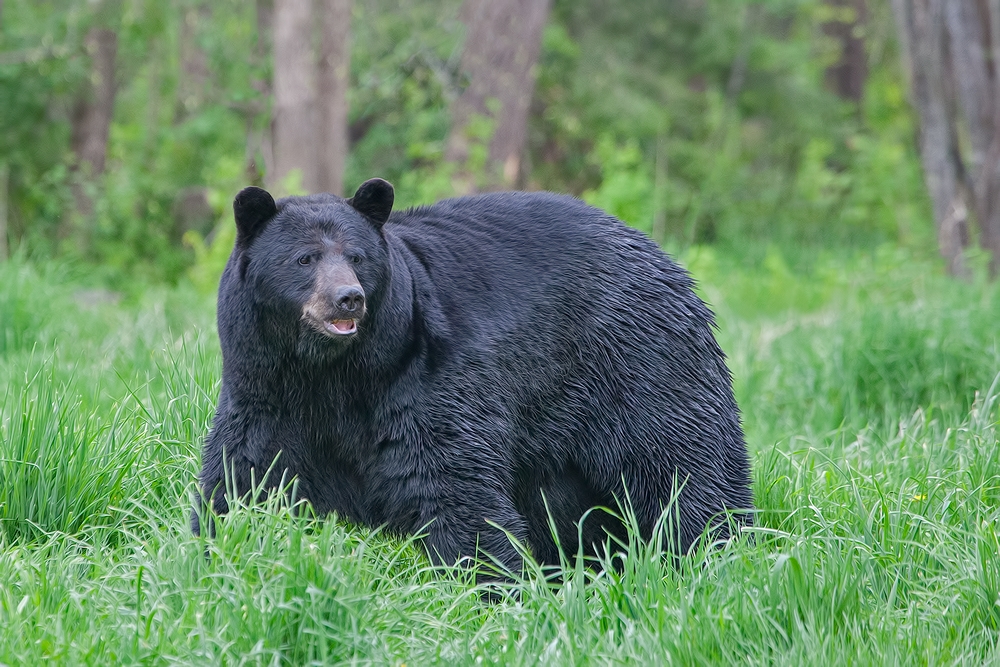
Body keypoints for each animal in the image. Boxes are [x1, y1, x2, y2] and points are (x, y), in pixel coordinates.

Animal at [193, 179, 752, 576]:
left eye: (357, 256)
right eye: (304, 258)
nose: (348, 298)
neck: (330, 371)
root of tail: (665, 257)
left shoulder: (423, 381)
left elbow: (452, 485)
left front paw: (497, 586)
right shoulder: (265, 392)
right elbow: (242, 475)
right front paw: (211, 548)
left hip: (638, 362)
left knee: (682, 461)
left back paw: (718, 553)